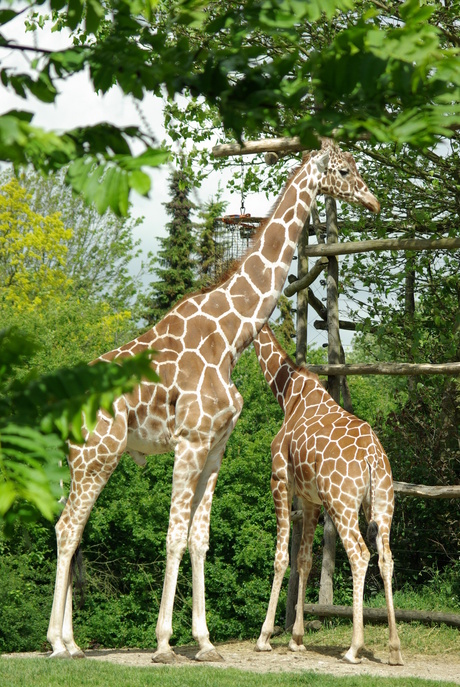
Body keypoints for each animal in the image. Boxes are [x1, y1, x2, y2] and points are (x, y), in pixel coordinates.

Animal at [46, 139, 380, 664]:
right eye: (344, 170)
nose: (375, 202)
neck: (228, 335)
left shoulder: (216, 446)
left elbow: (199, 539)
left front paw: (204, 643)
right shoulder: (189, 440)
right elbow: (173, 537)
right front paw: (164, 644)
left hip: (85, 459)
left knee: (72, 530)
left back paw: (72, 644)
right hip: (96, 454)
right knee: (66, 529)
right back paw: (59, 644)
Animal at [253, 324, 403, 665]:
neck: (287, 394)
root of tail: (372, 457)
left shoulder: (279, 480)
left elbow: (282, 558)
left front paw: (265, 637)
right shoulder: (310, 500)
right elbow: (305, 560)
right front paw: (296, 638)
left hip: (342, 502)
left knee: (360, 555)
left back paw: (354, 648)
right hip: (382, 502)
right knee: (386, 557)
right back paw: (394, 649)